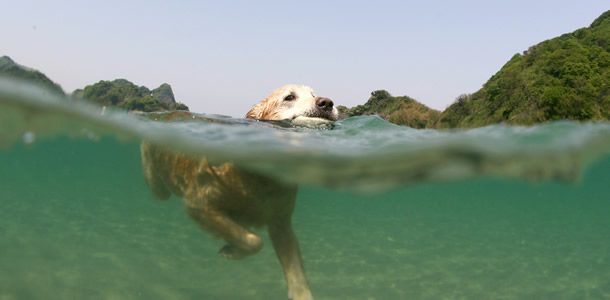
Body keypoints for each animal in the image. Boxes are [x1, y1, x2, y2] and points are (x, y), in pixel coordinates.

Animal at [138, 85, 338, 300]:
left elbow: (295, 269)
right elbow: (254, 240)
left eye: (313, 94)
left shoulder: (281, 224)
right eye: (289, 97)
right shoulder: (198, 204)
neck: (262, 179)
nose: (327, 103)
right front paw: (232, 250)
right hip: (158, 186)